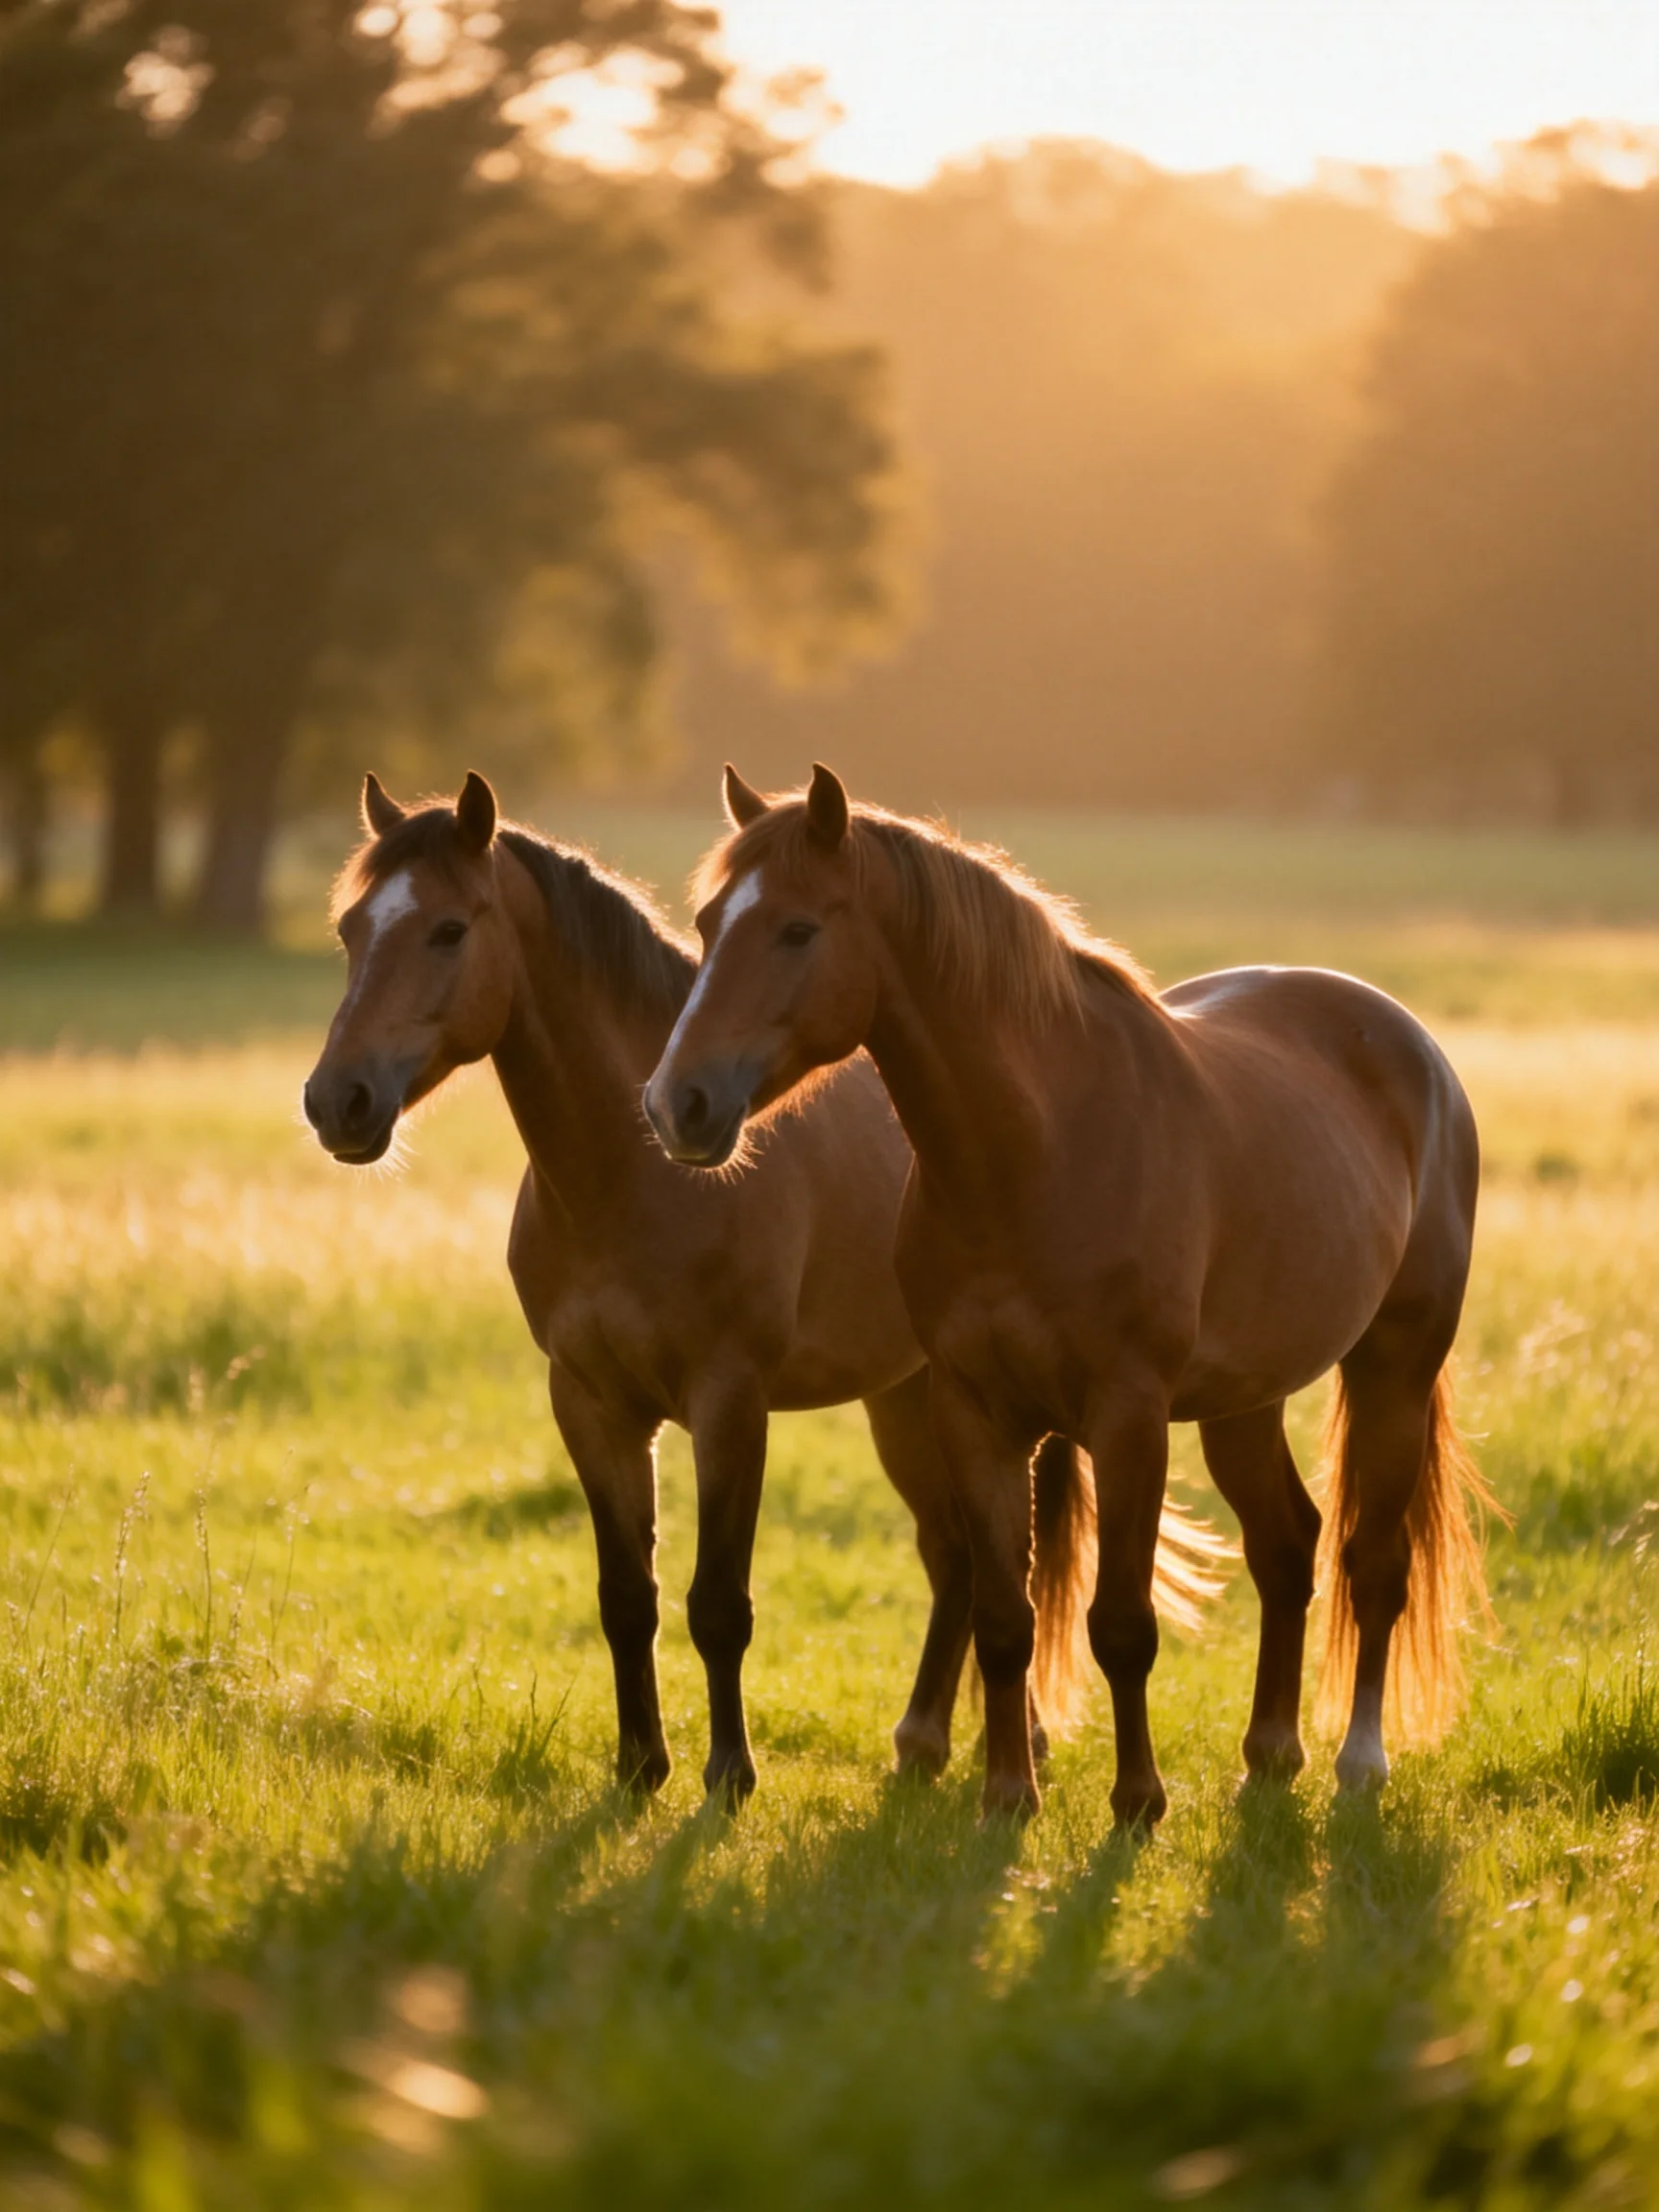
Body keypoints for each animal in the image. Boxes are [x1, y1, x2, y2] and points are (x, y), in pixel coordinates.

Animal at [301, 770, 1110, 1804]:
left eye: (448, 929)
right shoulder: (592, 1404)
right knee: (956, 1557)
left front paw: (729, 1774)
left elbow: (718, 1602)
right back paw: (924, 1740)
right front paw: (639, 1766)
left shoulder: (730, 1402)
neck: (630, 1182)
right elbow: (626, 1599)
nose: (338, 1102)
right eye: (351, 929)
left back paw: (1012, 1744)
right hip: (905, 1395)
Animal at [644, 763, 1498, 1825]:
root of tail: (1410, 1045)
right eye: (710, 921)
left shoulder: (1127, 1414)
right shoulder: (975, 1409)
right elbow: (1006, 1617)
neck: (1036, 1151)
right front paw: (1007, 1795)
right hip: (1244, 1402)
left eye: (799, 929)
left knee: (1371, 1564)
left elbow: (1121, 1623)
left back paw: (1359, 1762)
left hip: (1396, 1366)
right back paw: (1269, 1754)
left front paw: (1137, 1803)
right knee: (1286, 1544)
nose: (677, 1104)